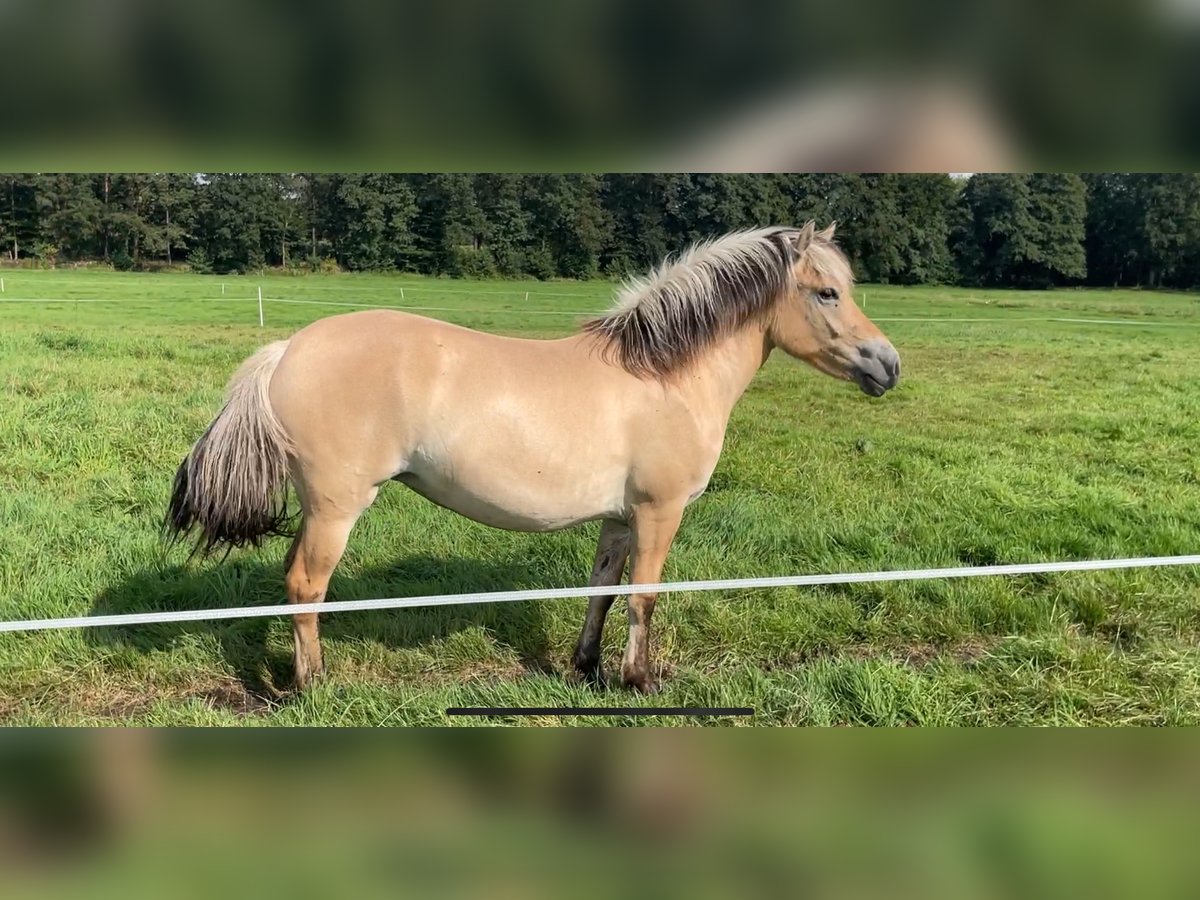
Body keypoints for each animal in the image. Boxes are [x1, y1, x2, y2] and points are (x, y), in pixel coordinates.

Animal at [166, 222, 902, 696]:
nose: (888, 365)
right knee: (305, 587)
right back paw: (315, 686)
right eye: (828, 292)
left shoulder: (619, 518)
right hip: (336, 507)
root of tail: (287, 348)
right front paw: (640, 680)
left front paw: (588, 669)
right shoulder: (658, 513)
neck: (663, 376)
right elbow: (644, 597)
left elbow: (602, 591)